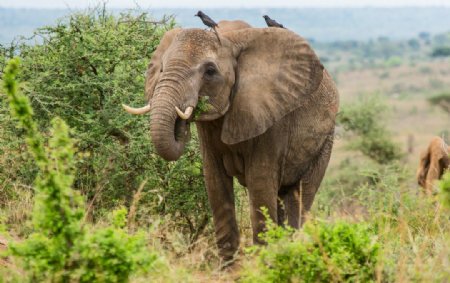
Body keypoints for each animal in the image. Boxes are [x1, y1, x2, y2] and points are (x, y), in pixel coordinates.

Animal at [121, 20, 340, 262]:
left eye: (210, 71)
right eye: (161, 69)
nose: (181, 122)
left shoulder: (271, 119)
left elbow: (260, 184)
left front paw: (263, 263)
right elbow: (215, 183)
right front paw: (229, 266)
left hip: (324, 142)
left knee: (299, 197)